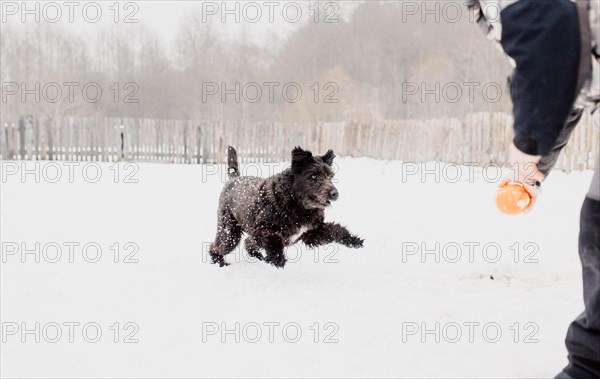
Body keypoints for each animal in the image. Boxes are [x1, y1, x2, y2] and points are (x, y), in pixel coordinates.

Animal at [209, 145, 364, 268]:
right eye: (314, 176)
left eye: (330, 176)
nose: (335, 193)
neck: (297, 204)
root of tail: (234, 179)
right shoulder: (263, 230)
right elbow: (274, 245)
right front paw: (277, 261)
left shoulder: (312, 233)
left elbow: (335, 230)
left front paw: (353, 240)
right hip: (229, 232)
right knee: (216, 247)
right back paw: (220, 262)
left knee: (248, 242)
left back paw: (258, 257)